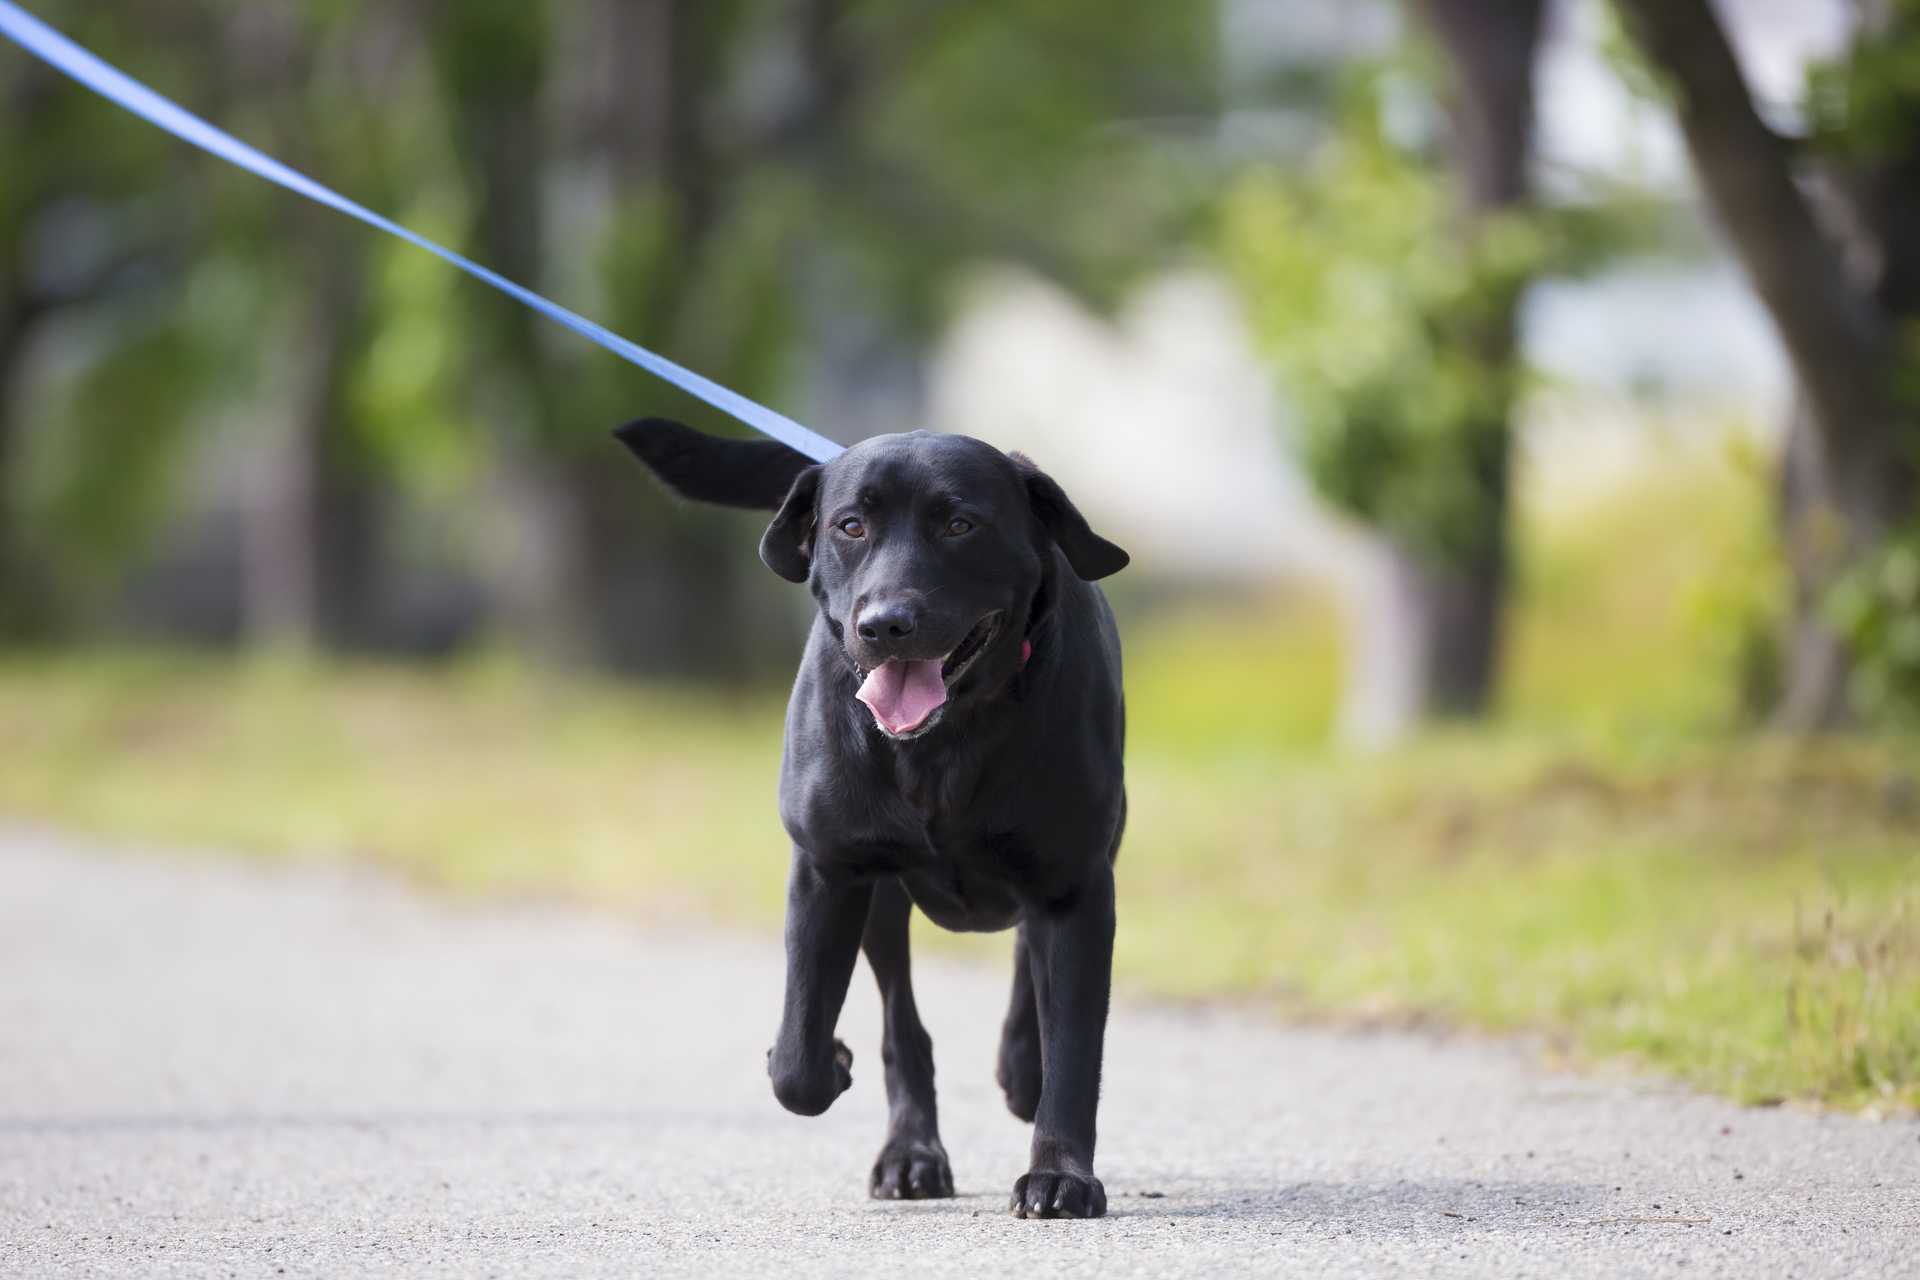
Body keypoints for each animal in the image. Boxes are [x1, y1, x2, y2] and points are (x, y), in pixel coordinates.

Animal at [614, 420, 1121, 1220]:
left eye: (960, 524)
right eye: (851, 526)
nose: (885, 624)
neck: (943, 742)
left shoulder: (1076, 885)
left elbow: (1072, 1048)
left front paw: (1060, 1175)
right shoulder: (829, 870)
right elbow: (797, 1057)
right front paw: (828, 1060)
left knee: (1025, 977)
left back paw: (1017, 1072)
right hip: (884, 905)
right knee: (903, 1030)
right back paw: (911, 1154)